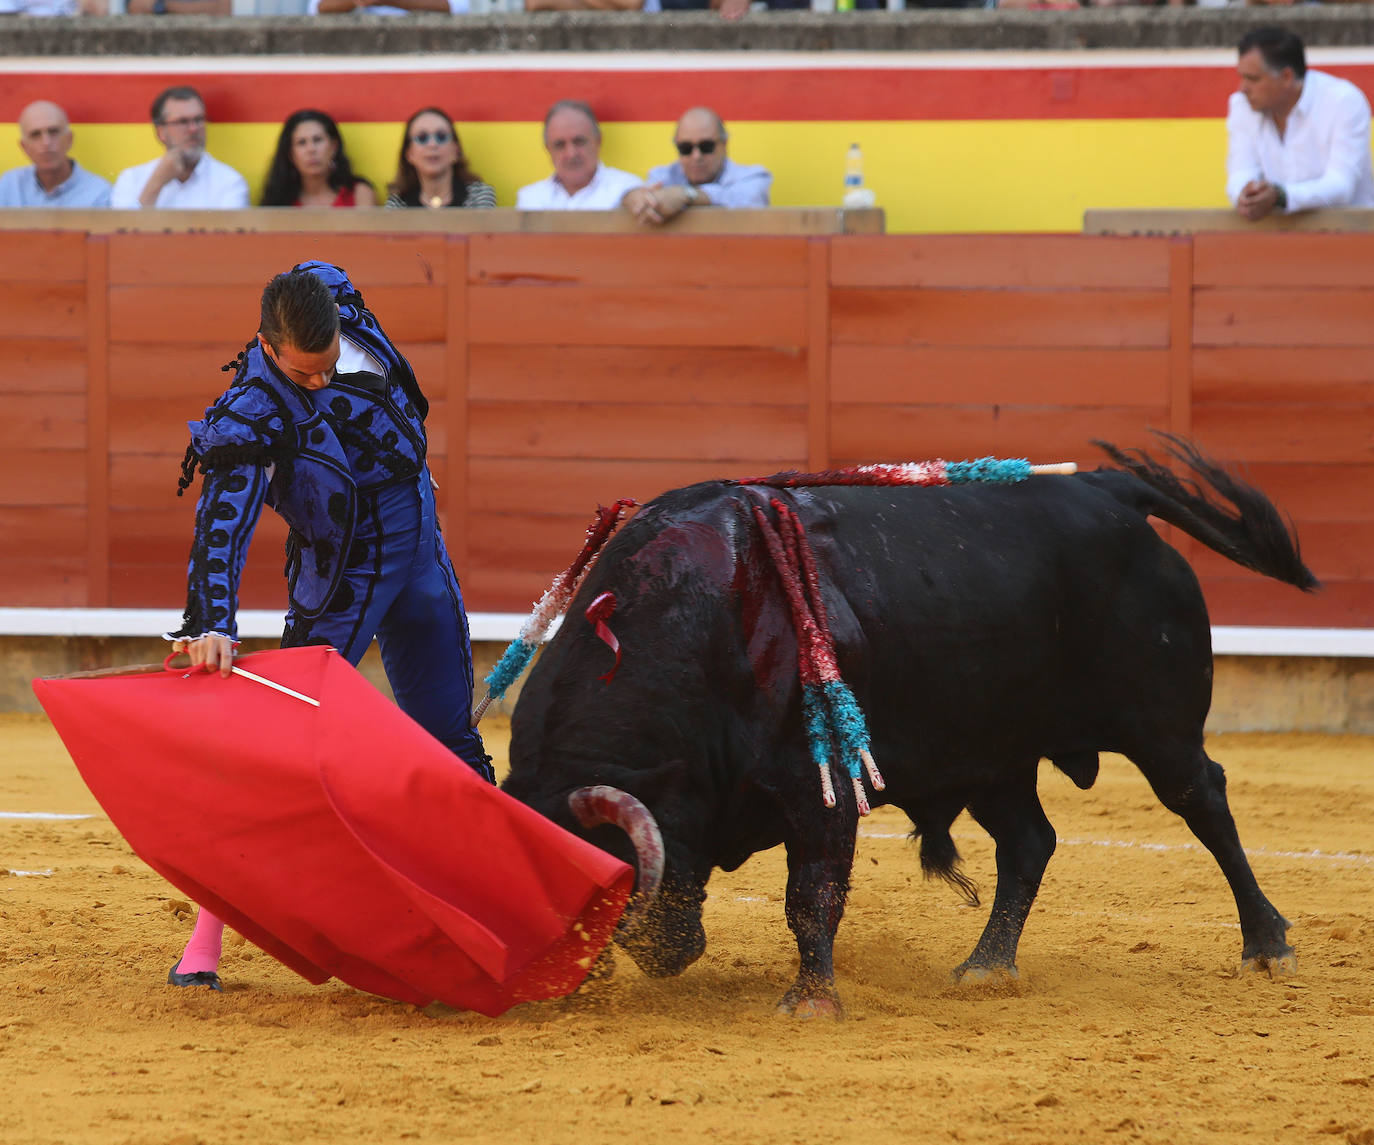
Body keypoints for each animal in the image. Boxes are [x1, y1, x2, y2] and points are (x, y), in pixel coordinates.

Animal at [505, 434, 1319, 1011]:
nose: (665, 957)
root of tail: (1105, 488)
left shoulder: (819, 786)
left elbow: (812, 894)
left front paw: (811, 1002)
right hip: (992, 753)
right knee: (1030, 841)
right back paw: (985, 966)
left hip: (1160, 727)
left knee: (1203, 802)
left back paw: (1266, 945)